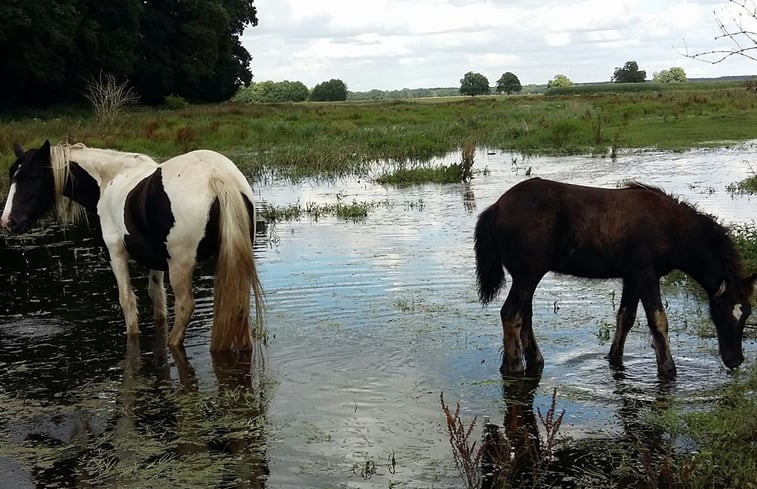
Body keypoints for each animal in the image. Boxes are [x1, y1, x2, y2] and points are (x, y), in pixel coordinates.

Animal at [2, 140, 262, 350]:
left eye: (30, 177)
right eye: (12, 177)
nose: (8, 222)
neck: (108, 178)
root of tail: (215, 176)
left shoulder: (115, 253)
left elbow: (127, 300)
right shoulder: (157, 260)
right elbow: (157, 299)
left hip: (180, 265)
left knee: (185, 307)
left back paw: (172, 343)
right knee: (239, 304)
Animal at [476, 177, 752, 380]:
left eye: (746, 314)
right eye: (722, 314)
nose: (735, 360)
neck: (670, 228)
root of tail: (497, 207)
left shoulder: (631, 277)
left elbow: (625, 318)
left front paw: (614, 358)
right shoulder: (646, 274)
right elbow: (658, 320)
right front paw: (668, 369)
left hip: (527, 276)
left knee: (524, 315)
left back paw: (535, 361)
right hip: (528, 274)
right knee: (512, 313)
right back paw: (514, 367)